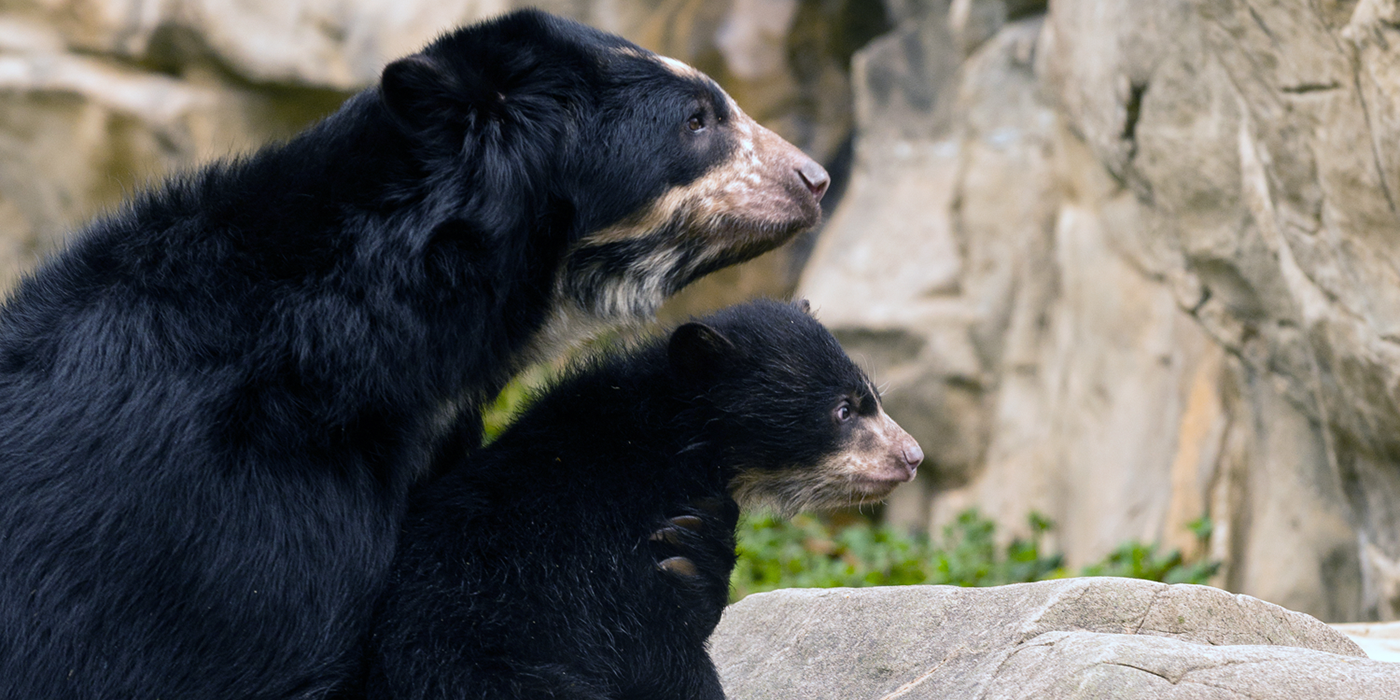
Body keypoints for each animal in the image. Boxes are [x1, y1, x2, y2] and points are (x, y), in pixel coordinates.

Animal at [352, 301, 918, 700]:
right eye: (844, 410)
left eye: (873, 399)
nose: (913, 456)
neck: (673, 440)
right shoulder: (602, 559)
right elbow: (660, 650)